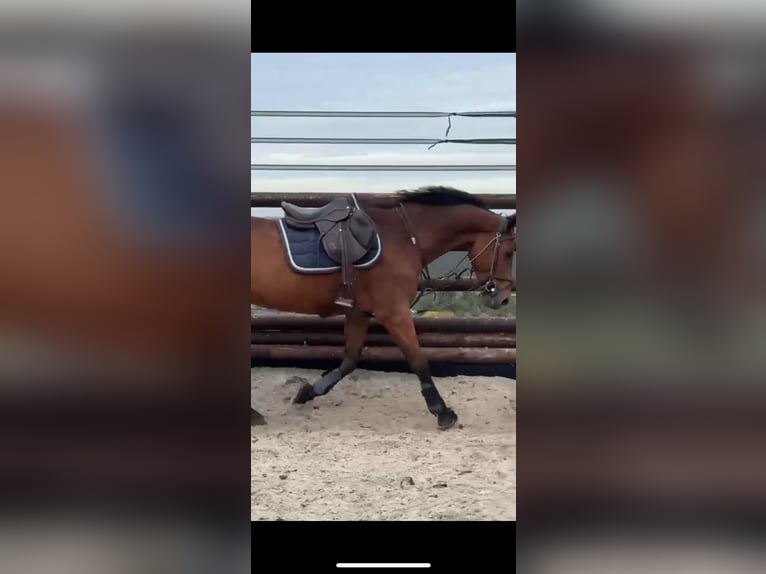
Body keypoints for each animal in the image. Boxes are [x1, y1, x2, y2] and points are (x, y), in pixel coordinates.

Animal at [250, 186, 516, 430]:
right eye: (509, 252)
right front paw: (442, 412)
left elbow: (350, 359)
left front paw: (307, 392)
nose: (502, 297)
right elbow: (417, 358)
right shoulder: (394, 312)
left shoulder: (358, 313)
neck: (403, 237)